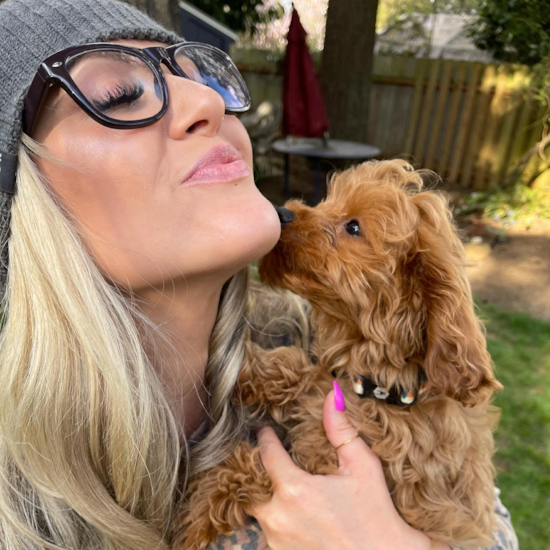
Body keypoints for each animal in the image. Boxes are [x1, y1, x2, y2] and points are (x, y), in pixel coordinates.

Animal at [175, 160, 506, 550]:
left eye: (354, 227)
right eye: (329, 200)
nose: (282, 212)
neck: (379, 387)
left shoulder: (325, 465)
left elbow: (252, 468)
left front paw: (191, 515)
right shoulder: (324, 388)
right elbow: (297, 370)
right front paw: (241, 368)